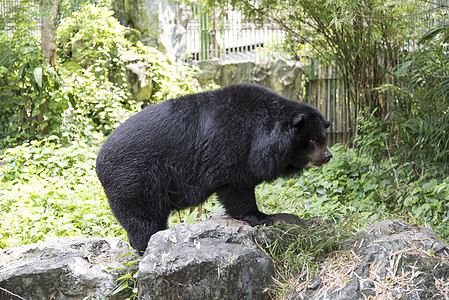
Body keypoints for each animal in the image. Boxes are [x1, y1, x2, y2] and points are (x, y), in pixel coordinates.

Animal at [95, 83, 332, 252]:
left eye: (323, 138)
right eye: (311, 141)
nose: (327, 156)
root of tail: (99, 161)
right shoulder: (232, 150)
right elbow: (237, 188)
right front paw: (260, 217)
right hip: (134, 180)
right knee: (143, 219)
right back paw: (147, 244)